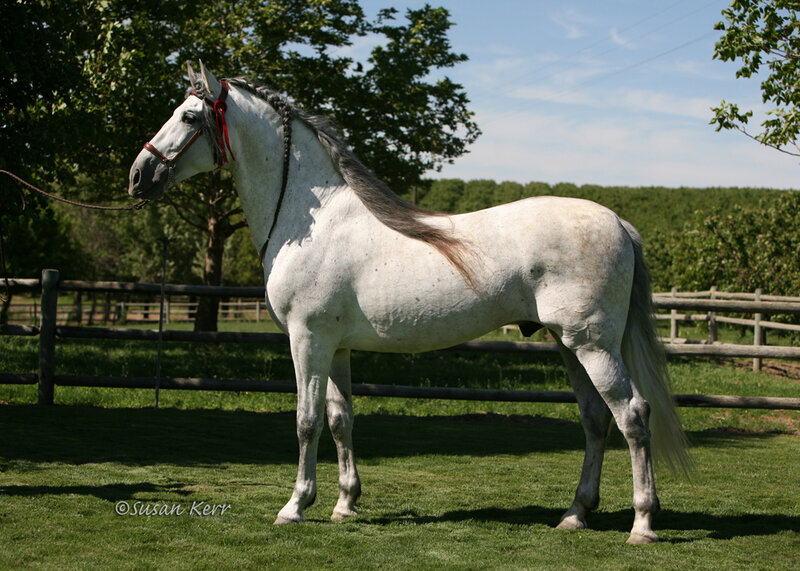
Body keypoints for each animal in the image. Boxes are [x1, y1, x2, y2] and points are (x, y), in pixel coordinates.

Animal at [128, 62, 690, 544]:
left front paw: (295, 506)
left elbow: (307, 421)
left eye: (189, 116)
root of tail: (619, 223)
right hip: (569, 345)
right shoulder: (336, 347)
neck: (313, 219)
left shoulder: (307, 340)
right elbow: (341, 419)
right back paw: (575, 514)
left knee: (632, 415)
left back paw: (643, 523)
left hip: (593, 345)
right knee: (596, 419)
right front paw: (345, 504)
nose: (138, 176)